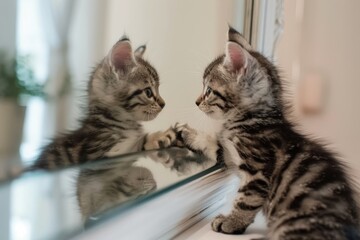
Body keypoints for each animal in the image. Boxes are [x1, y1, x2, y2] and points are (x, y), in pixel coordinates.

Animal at [177, 27, 360, 239]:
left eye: (208, 90)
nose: (196, 101)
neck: (253, 120)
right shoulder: (231, 154)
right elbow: (214, 144)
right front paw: (188, 133)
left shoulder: (257, 170)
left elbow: (245, 201)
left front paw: (231, 222)